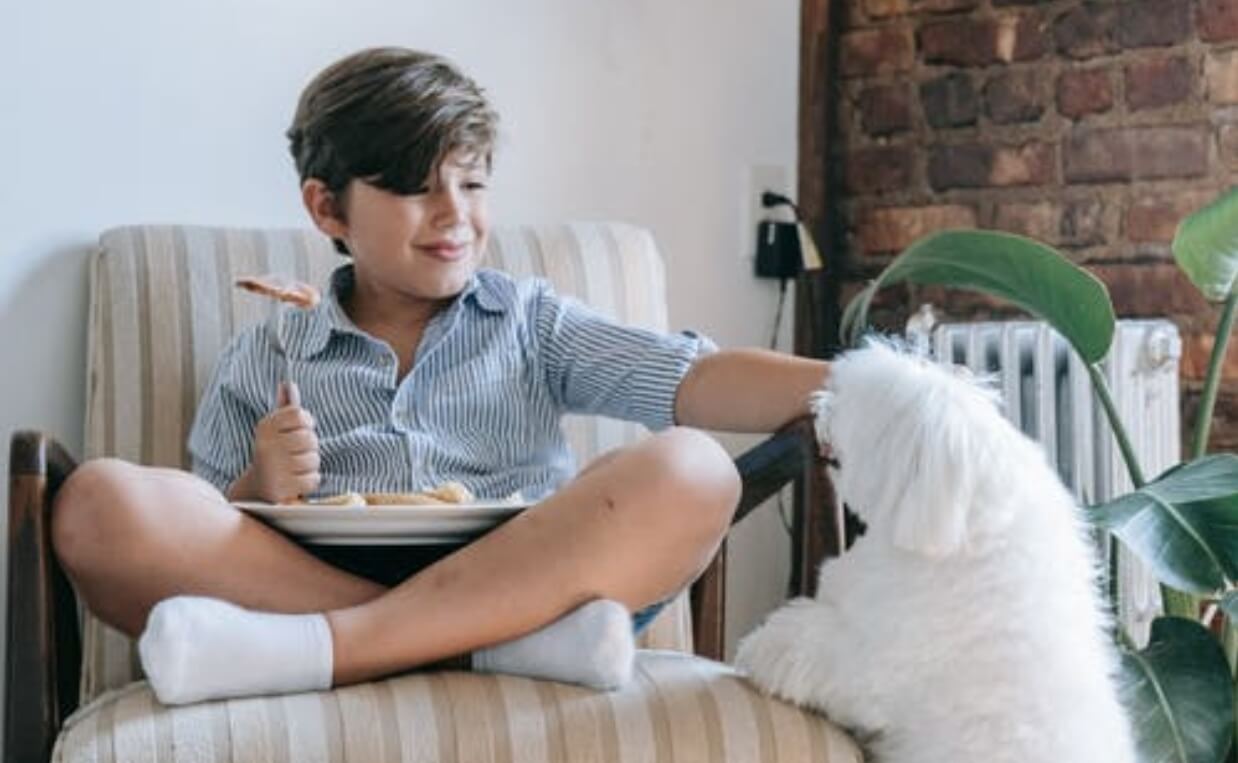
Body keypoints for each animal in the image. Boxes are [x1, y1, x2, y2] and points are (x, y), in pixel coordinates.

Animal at [732, 344, 1134, 763]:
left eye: (856, 409)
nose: (819, 403)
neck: (960, 530)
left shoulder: (870, 660)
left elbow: (807, 643)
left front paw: (760, 646)